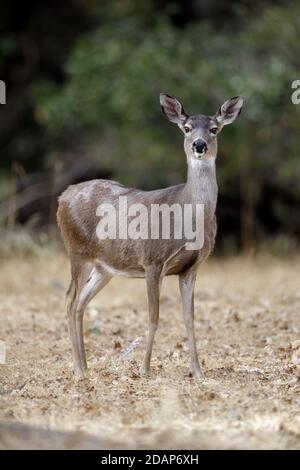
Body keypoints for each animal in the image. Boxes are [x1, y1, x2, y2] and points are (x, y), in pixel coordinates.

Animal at [56, 92, 244, 378]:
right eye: (186, 128)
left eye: (214, 129)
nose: (199, 145)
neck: (186, 215)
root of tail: (62, 196)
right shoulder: (152, 260)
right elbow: (153, 317)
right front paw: (144, 369)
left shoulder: (191, 268)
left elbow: (189, 317)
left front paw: (197, 371)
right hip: (76, 250)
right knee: (69, 299)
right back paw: (78, 368)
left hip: (104, 267)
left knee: (80, 303)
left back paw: (86, 366)